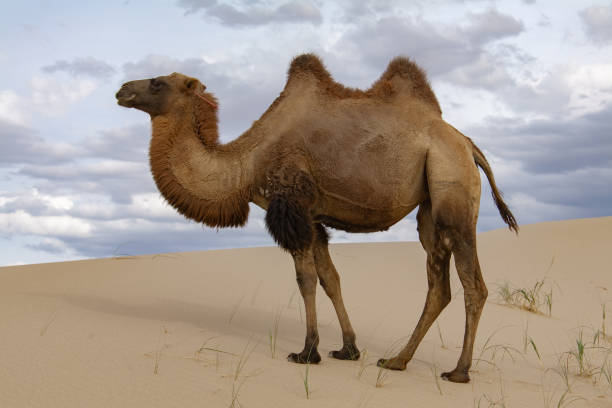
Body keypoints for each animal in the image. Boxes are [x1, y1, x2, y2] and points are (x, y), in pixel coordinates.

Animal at [116, 53, 516, 382]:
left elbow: (305, 280)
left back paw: (459, 371)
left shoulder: (292, 207)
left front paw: (307, 352)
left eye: (157, 81)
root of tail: (468, 144)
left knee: (473, 285)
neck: (248, 163)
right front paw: (348, 348)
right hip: (430, 207)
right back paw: (396, 361)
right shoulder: (313, 217)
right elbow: (331, 279)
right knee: (439, 285)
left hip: (453, 188)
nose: (121, 90)